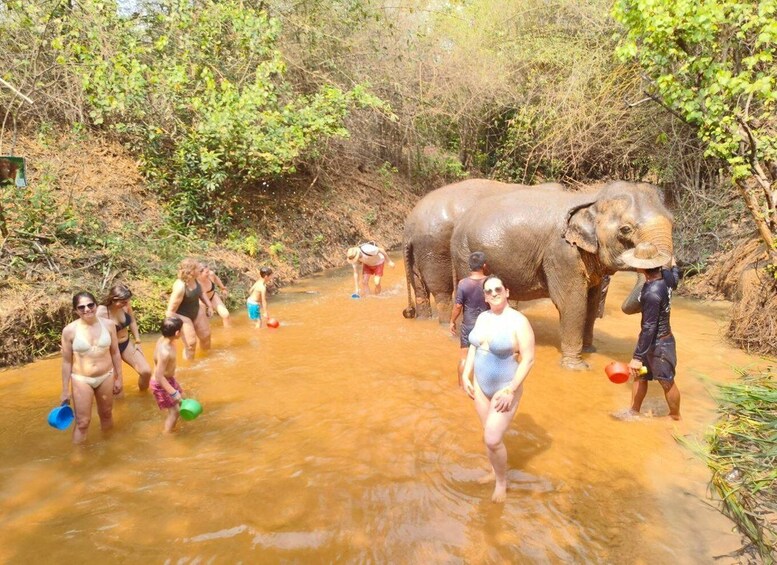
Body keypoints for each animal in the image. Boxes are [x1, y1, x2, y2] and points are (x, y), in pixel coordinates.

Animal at [452, 181, 668, 370]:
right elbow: (572, 302)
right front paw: (577, 367)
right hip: (464, 253)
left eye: (672, 222)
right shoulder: (562, 252)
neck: (593, 198)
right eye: (625, 229)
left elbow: (591, 302)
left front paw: (590, 350)